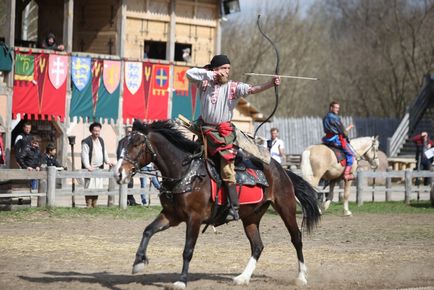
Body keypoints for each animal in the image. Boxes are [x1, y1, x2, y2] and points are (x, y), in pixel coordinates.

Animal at [115, 120, 322, 288]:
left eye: (136, 144)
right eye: (121, 145)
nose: (118, 174)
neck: (186, 173)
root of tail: (282, 170)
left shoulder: (194, 218)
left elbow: (188, 249)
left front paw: (181, 281)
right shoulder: (171, 216)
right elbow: (148, 231)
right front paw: (138, 263)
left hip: (286, 208)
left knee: (296, 238)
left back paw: (301, 277)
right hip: (251, 217)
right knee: (258, 246)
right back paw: (243, 278)